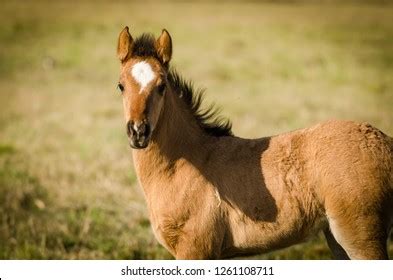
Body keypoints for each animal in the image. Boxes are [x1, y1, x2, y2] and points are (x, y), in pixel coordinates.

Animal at [115, 26, 392, 260]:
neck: (184, 164)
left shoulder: (195, 250)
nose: (138, 132)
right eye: (120, 85)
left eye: (161, 86)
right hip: (337, 239)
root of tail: (383, 141)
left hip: (360, 235)